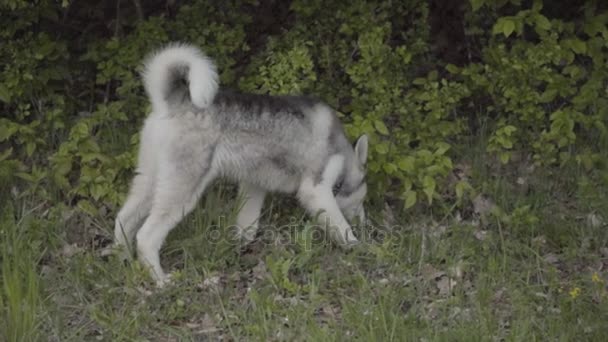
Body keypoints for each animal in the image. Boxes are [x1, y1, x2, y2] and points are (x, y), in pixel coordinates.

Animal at [116, 44, 368, 286]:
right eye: (361, 201)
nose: (366, 224)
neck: (343, 152)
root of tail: (173, 103)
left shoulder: (253, 186)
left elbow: (247, 226)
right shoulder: (316, 190)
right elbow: (341, 226)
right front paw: (357, 247)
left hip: (151, 181)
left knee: (123, 219)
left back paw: (123, 261)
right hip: (181, 189)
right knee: (146, 236)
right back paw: (160, 280)